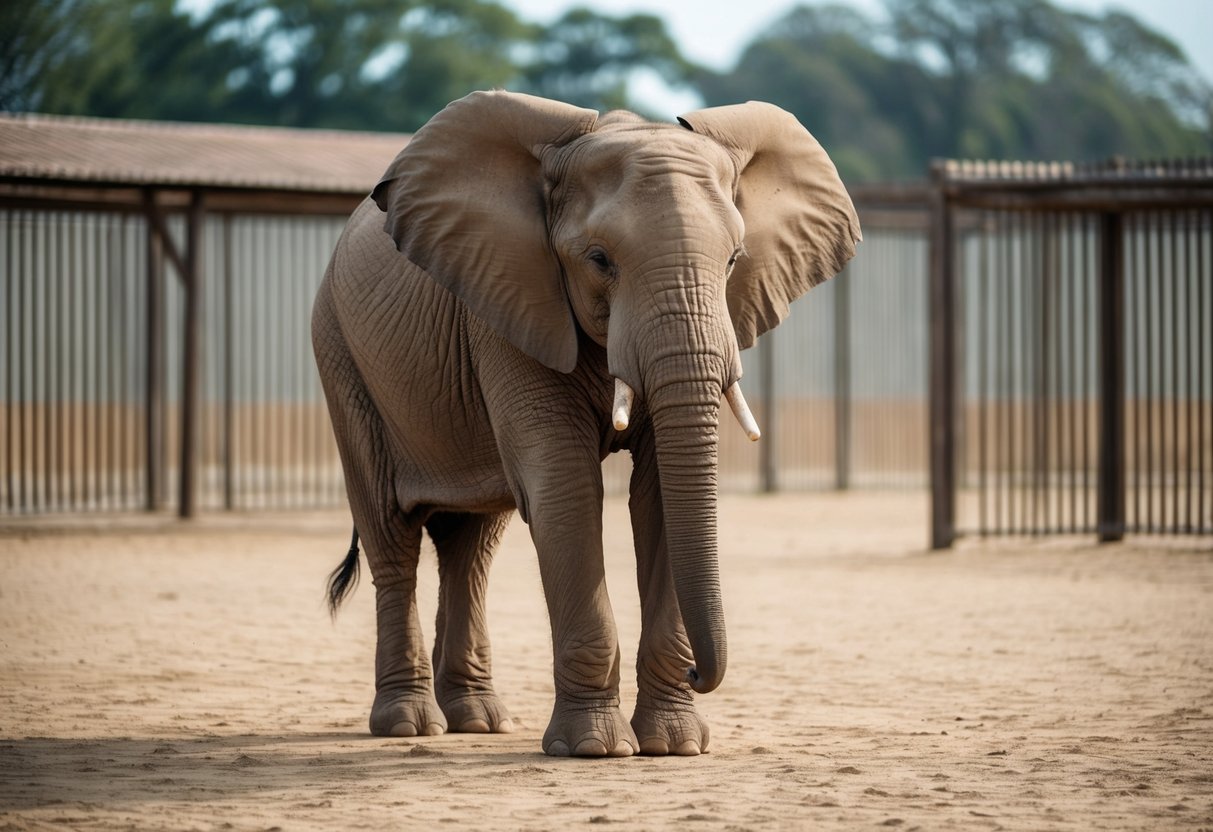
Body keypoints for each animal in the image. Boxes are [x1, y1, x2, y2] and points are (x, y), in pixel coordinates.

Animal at [312, 90, 860, 758]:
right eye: (599, 260)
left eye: (733, 260)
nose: (697, 671)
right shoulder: (511, 301)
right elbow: (565, 485)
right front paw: (594, 749)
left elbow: (657, 495)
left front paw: (673, 747)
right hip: (340, 352)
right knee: (392, 534)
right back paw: (408, 725)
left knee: (472, 547)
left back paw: (478, 722)